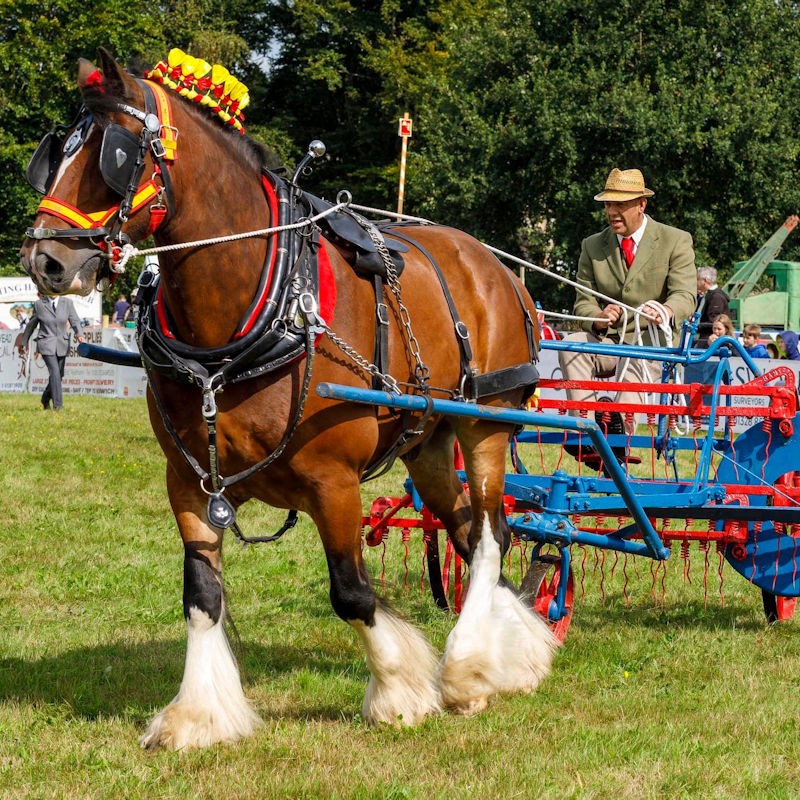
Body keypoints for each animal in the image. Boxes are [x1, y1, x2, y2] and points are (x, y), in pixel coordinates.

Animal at [20, 50, 556, 752]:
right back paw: (511, 656)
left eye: (116, 153)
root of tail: (496, 266)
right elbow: (201, 595)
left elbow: (352, 592)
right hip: (430, 443)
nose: (43, 261)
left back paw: (467, 669)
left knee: (492, 534)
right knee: (468, 530)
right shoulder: (189, 481)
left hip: (487, 424)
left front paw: (399, 692)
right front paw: (197, 714)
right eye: (55, 153)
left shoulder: (334, 481)